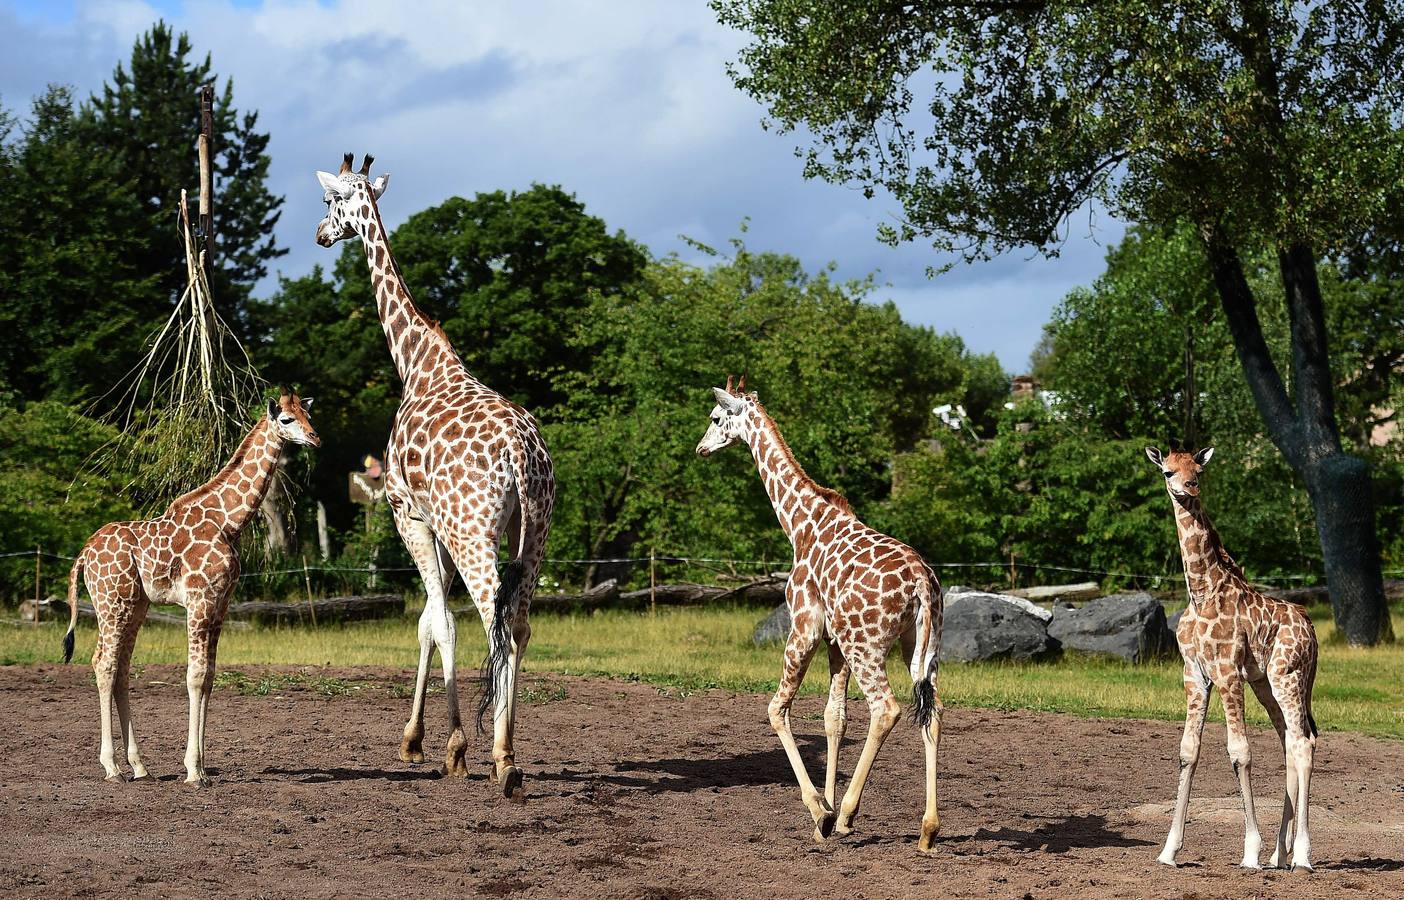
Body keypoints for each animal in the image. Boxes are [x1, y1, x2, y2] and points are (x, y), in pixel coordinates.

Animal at [61, 390, 320, 780]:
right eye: (287, 419)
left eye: (308, 414)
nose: (315, 438)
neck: (229, 522)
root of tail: (83, 555)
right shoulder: (200, 599)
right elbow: (194, 676)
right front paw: (194, 771)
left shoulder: (221, 603)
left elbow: (210, 676)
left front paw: (202, 766)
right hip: (111, 601)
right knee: (104, 663)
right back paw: (112, 767)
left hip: (136, 604)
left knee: (121, 668)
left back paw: (140, 766)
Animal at [315, 154, 555, 791]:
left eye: (329, 202)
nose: (320, 234)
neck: (415, 362)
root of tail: (521, 454)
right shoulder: (434, 524)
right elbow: (427, 620)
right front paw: (417, 740)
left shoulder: (408, 514)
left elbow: (439, 622)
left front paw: (449, 747)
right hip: (535, 531)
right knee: (520, 624)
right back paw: (508, 752)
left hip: (474, 533)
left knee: (494, 619)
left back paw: (501, 758)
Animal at [693, 376, 943, 848]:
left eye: (716, 418)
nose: (701, 448)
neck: (799, 525)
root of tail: (921, 583)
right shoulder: (834, 644)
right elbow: (834, 719)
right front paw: (820, 815)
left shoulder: (805, 628)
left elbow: (777, 709)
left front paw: (821, 812)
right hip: (919, 646)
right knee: (932, 711)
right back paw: (928, 830)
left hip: (866, 645)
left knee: (887, 709)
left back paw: (846, 815)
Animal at [1151, 446, 1314, 870]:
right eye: (1168, 471)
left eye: (1199, 469)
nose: (1188, 486)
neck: (1201, 591)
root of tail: (1311, 628)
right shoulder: (1194, 673)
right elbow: (1188, 751)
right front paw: (1169, 850)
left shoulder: (1227, 671)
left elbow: (1240, 752)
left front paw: (1250, 851)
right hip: (1266, 682)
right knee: (1289, 742)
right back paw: (1280, 855)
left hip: (1288, 675)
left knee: (1303, 743)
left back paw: (1302, 855)